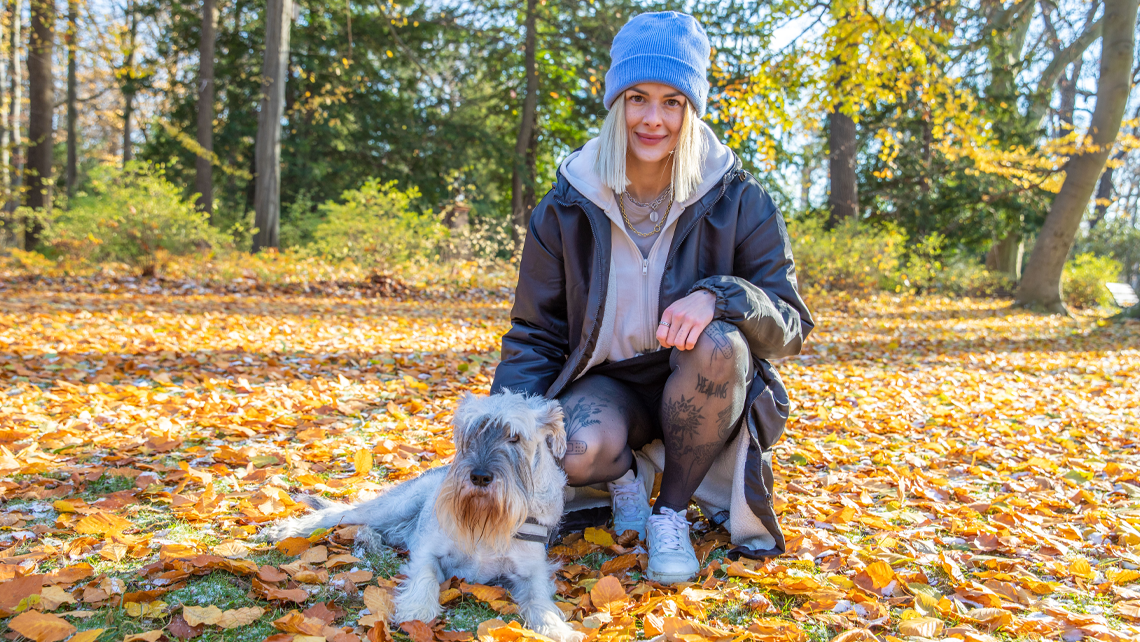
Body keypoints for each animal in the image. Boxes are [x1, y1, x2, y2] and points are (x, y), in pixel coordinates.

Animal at [262, 392, 583, 642]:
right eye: (469, 435)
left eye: (514, 437)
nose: (479, 477)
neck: (486, 518)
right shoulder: (429, 551)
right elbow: (425, 576)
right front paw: (417, 609)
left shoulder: (533, 570)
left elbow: (539, 598)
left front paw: (556, 628)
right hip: (395, 506)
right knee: (340, 514)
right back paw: (287, 530)